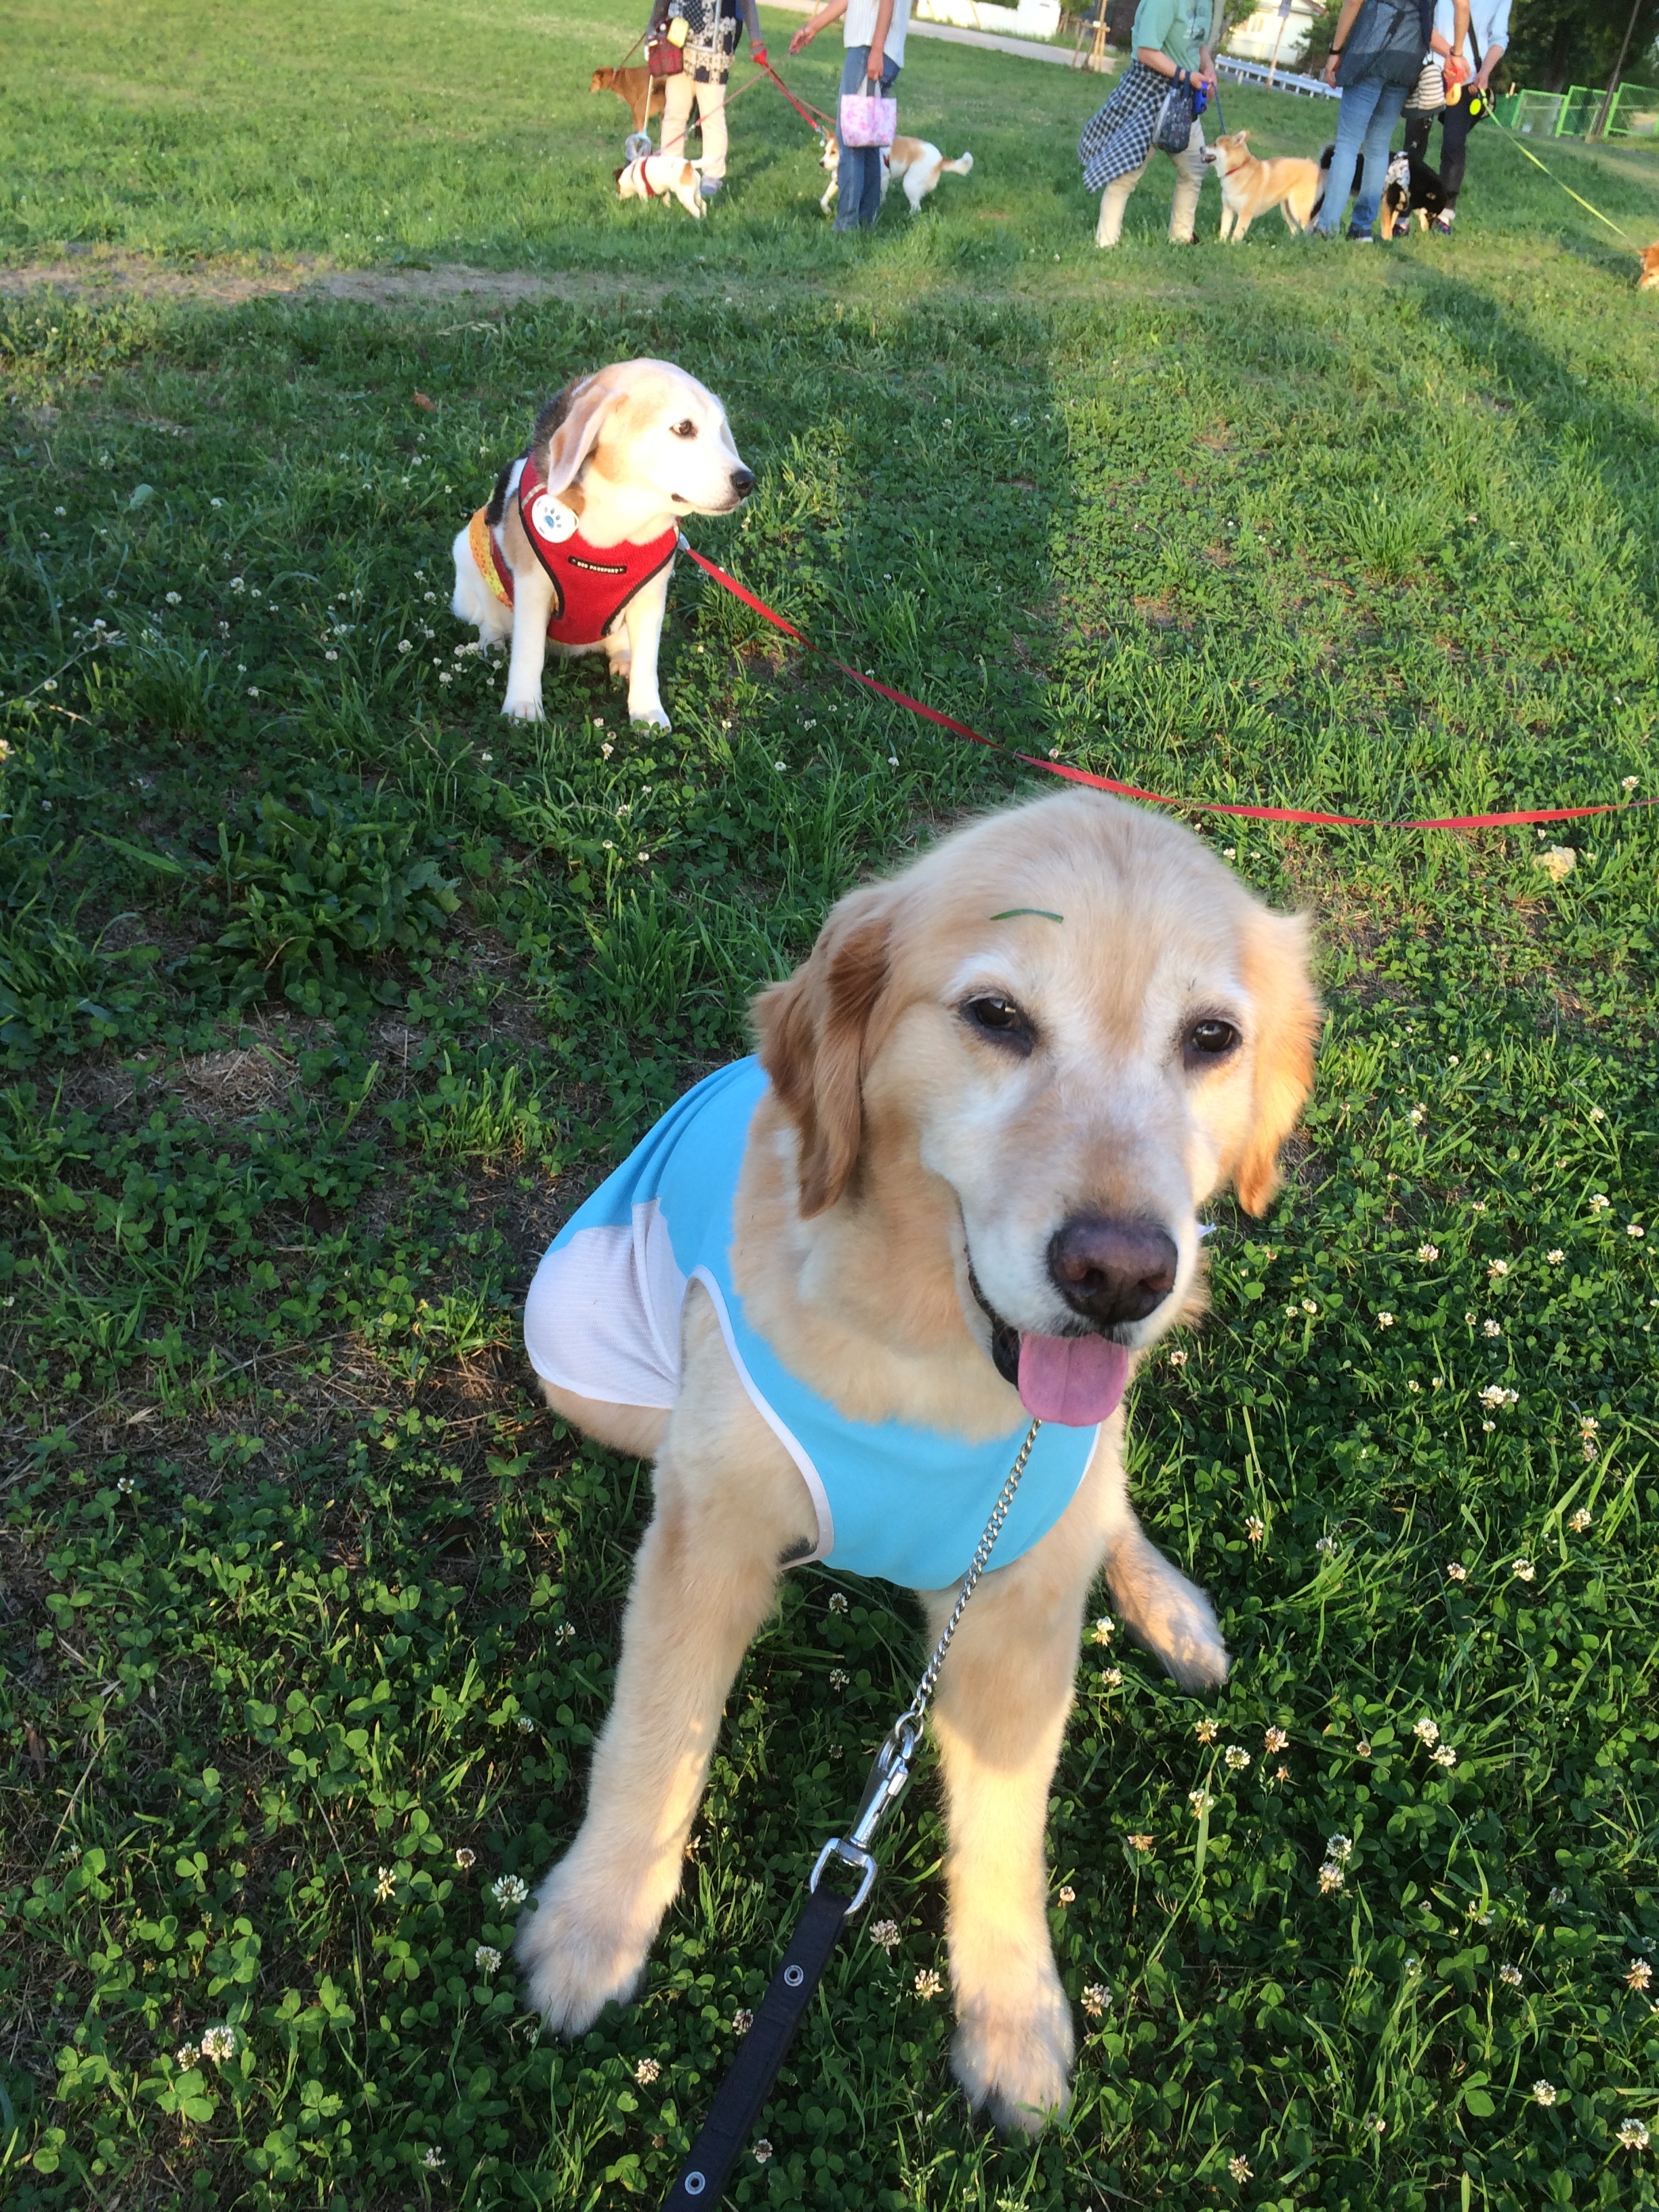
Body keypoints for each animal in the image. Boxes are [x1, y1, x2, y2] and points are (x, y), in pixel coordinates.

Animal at [449, 359, 753, 728]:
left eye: (720, 429)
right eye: (683, 428)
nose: (747, 481)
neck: (621, 517)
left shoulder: (651, 596)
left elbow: (648, 662)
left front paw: (647, 712)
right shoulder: (533, 588)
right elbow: (529, 653)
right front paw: (523, 706)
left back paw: (623, 656)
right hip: (467, 552)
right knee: (490, 619)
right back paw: (491, 643)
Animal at [514, 789, 1320, 2130]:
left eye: (1210, 1037)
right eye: (996, 1016)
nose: (1120, 1276)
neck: (931, 1363)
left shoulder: (1016, 1607)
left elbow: (1005, 1824)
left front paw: (1011, 2020)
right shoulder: (707, 1533)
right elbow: (654, 1734)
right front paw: (593, 1923)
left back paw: (1168, 1606)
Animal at [616, 152, 705, 219]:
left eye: (618, 189)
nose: (616, 196)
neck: (631, 174)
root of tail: (689, 164)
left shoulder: (642, 193)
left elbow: (645, 205)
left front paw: (644, 213)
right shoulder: (665, 192)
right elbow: (667, 202)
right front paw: (668, 212)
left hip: (685, 196)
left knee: (696, 210)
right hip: (696, 194)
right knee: (703, 204)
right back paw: (704, 218)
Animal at [818, 132, 974, 217]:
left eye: (834, 152)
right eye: (825, 151)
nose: (821, 163)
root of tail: (940, 159)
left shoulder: (883, 180)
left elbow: (880, 197)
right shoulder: (837, 181)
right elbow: (824, 199)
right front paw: (827, 210)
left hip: (909, 182)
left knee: (916, 207)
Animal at [1205, 130, 1323, 239]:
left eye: (1215, 144)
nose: (1202, 148)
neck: (1238, 168)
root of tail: (1317, 168)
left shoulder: (1245, 213)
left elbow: (1236, 235)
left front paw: (1233, 246)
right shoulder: (1228, 210)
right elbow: (1224, 231)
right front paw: (1221, 244)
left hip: (1299, 210)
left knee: (1308, 230)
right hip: (1287, 210)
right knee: (1296, 230)